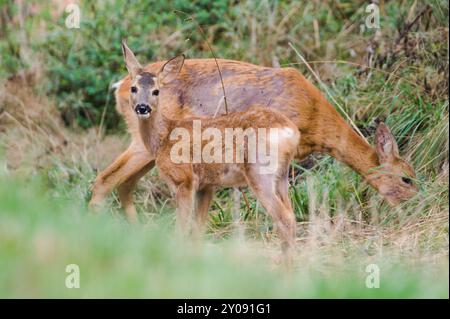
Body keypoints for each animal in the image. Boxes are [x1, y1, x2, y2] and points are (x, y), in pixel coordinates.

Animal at [88, 45, 418, 224]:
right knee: (105, 180)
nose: (418, 205)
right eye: (406, 178)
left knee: (124, 184)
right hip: (144, 142)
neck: (313, 116)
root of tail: (121, 86)